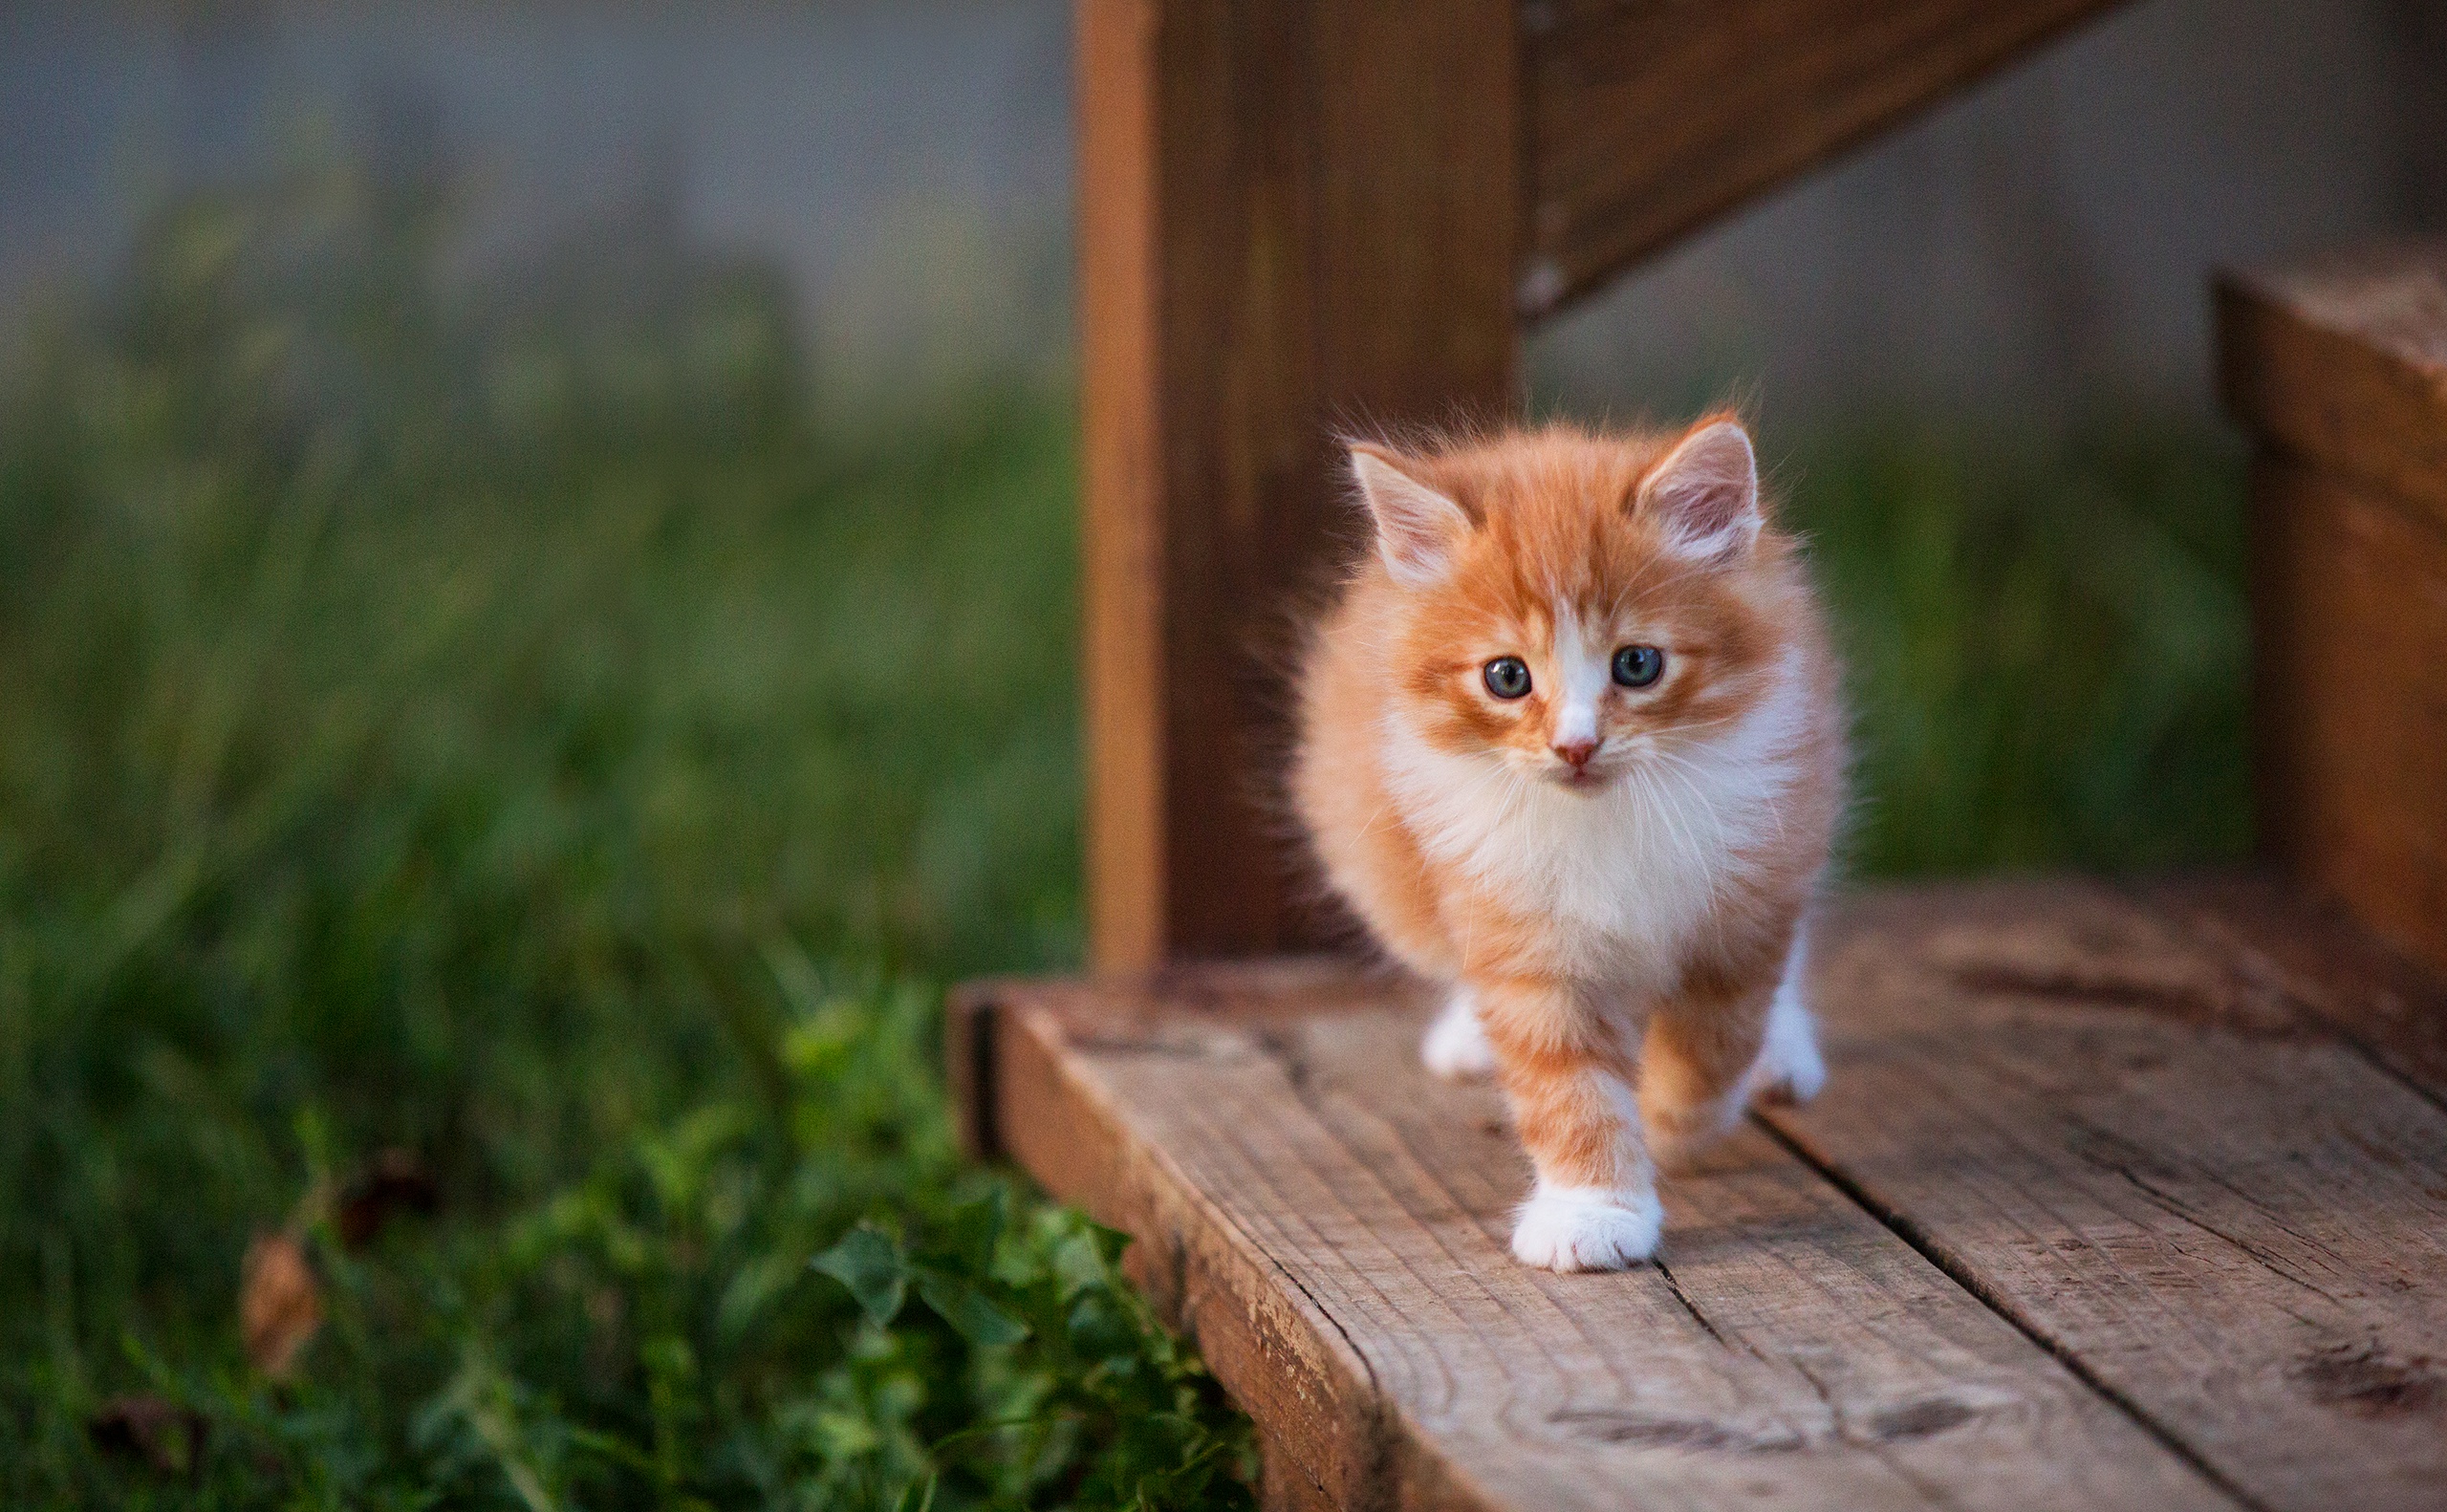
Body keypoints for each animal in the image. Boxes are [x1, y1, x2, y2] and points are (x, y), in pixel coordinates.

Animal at [1301, 416, 1840, 1272]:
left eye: (1638, 663)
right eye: (1506, 677)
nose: (1576, 746)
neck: (1605, 818)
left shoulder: (1754, 884)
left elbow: (1715, 1038)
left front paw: (1675, 1125)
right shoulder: (1522, 937)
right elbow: (1566, 1086)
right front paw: (1594, 1211)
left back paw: (1782, 1055)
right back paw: (1467, 1037)